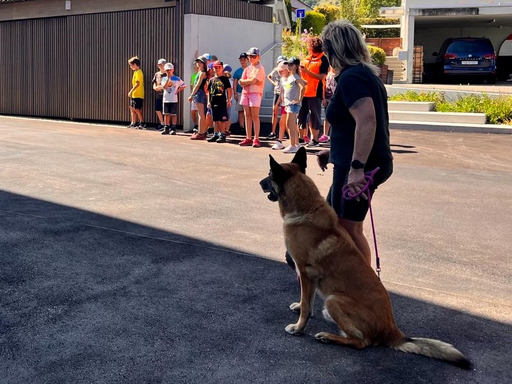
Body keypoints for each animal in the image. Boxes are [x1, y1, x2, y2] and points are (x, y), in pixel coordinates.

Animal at [260, 147, 472, 368]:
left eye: (269, 175)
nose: (259, 183)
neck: (307, 207)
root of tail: (392, 329)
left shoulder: (305, 272)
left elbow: (307, 308)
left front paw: (298, 327)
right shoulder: (309, 277)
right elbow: (306, 301)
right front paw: (300, 306)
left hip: (334, 300)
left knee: (361, 342)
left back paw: (328, 337)